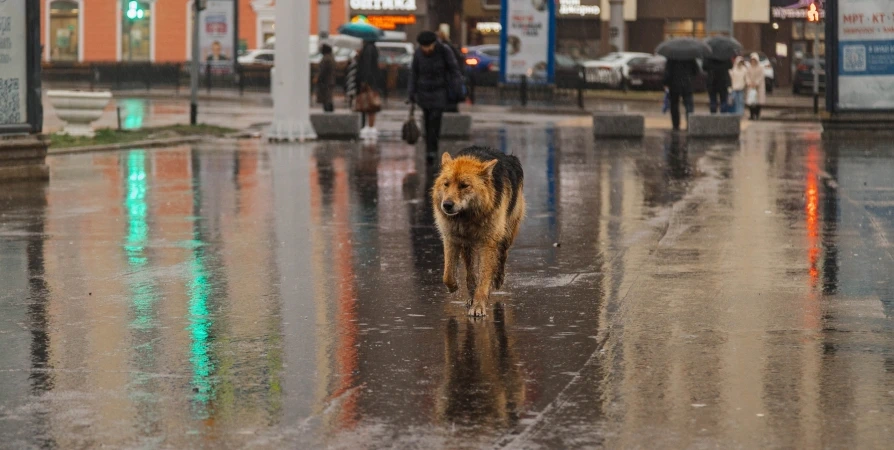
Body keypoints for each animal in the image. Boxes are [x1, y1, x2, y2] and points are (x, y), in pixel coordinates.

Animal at [432, 148, 524, 316]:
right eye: (446, 184)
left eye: (464, 185)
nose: (446, 205)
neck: (466, 217)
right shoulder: (451, 238)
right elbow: (448, 274)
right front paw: (455, 288)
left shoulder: (488, 242)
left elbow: (485, 276)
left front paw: (479, 305)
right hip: (468, 246)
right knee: (470, 271)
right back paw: (471, 294)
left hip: (506, 233)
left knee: (503, 254)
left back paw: (498, 279)